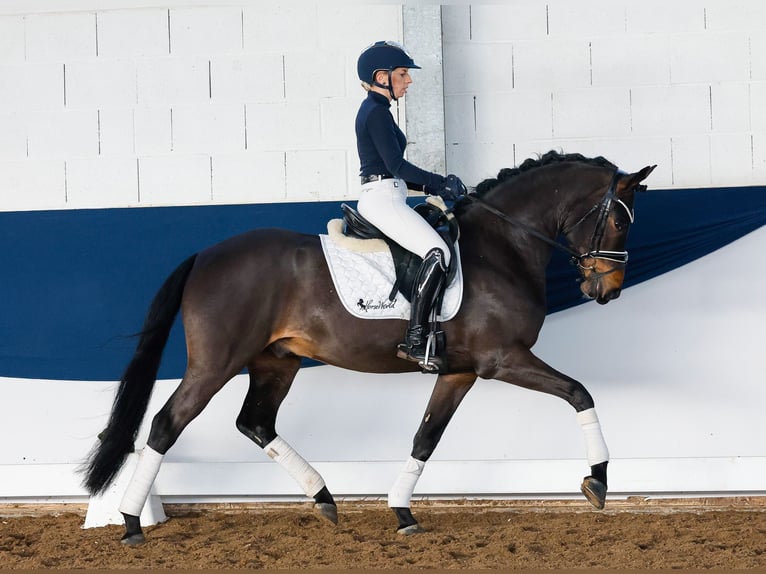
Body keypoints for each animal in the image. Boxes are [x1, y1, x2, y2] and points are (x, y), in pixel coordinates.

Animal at [82, 152, 660, 544]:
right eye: (619, 219)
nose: (608, 290)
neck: (503, 247)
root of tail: (205, 255)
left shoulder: (459, 372)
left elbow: (425, 438)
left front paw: (402, 512)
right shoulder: (503, 360)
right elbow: (580, 393)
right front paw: (598, 481)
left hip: (277, 362)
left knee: (256, 422)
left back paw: (323, 498)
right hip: (215, 363)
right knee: (166, 425)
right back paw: (131, 522)